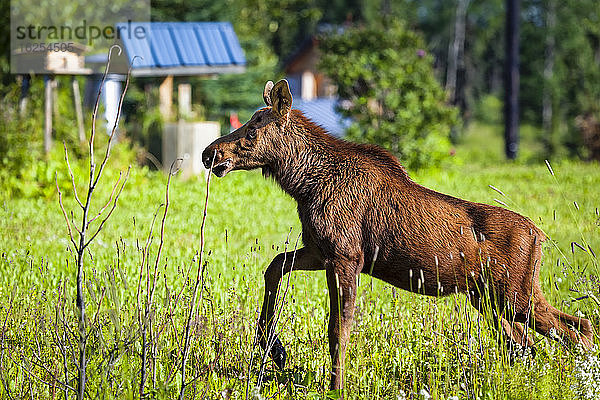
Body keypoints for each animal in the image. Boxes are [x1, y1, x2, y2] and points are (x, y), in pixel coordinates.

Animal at [203, 79, 596, 392]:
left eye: (252, 131)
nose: (210, 153)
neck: (302, 185)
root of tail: (540, 236)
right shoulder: (318, 250)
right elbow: (274, 267)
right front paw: (275, 348)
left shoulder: (346, 256)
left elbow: (338, 329)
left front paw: (335, 386)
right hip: (487, 296)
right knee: (527, 341)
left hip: (514, 292)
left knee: (576, 328)